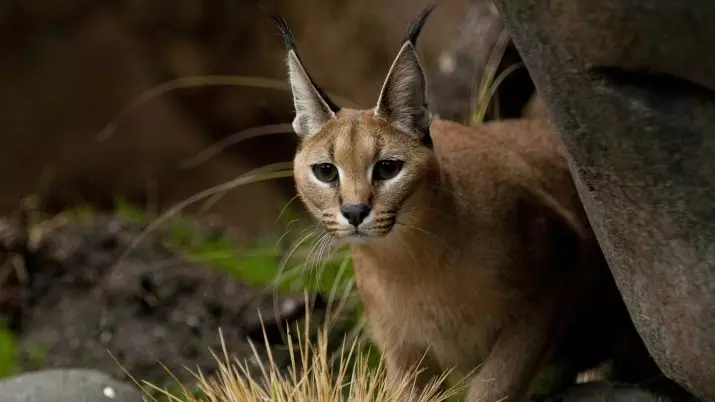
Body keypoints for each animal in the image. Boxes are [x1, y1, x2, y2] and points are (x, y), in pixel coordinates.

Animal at [272, 5, 648, 402]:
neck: (409, 263)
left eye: (388, 168)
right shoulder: (403, 352)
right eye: (326, 172)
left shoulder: (547, 284)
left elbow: (493, 387)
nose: (355, 212)